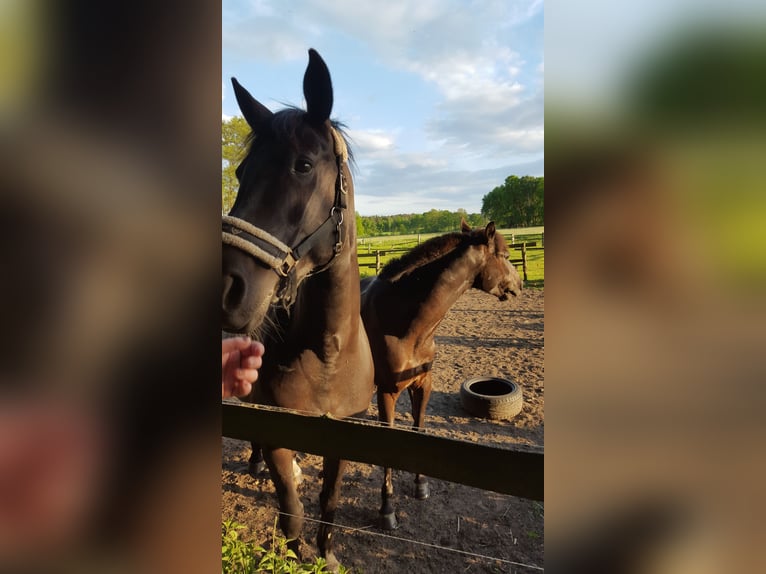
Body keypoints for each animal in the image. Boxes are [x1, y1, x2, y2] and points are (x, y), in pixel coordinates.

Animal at [222, 50, 376, 572]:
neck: (328, 355)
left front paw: (327, 553)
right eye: (240, 174)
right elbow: (291, 515)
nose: (228, 286)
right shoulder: (278, 433)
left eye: (303, 165)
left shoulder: (344, 434)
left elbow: (329, 502)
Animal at [360, 219, 520, 532]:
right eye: (505, 256)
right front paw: (387, 510)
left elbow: (420, 428)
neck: (400, 319)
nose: (519, 285)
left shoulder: (423, 384)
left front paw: (421, 485)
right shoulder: (387, 391)